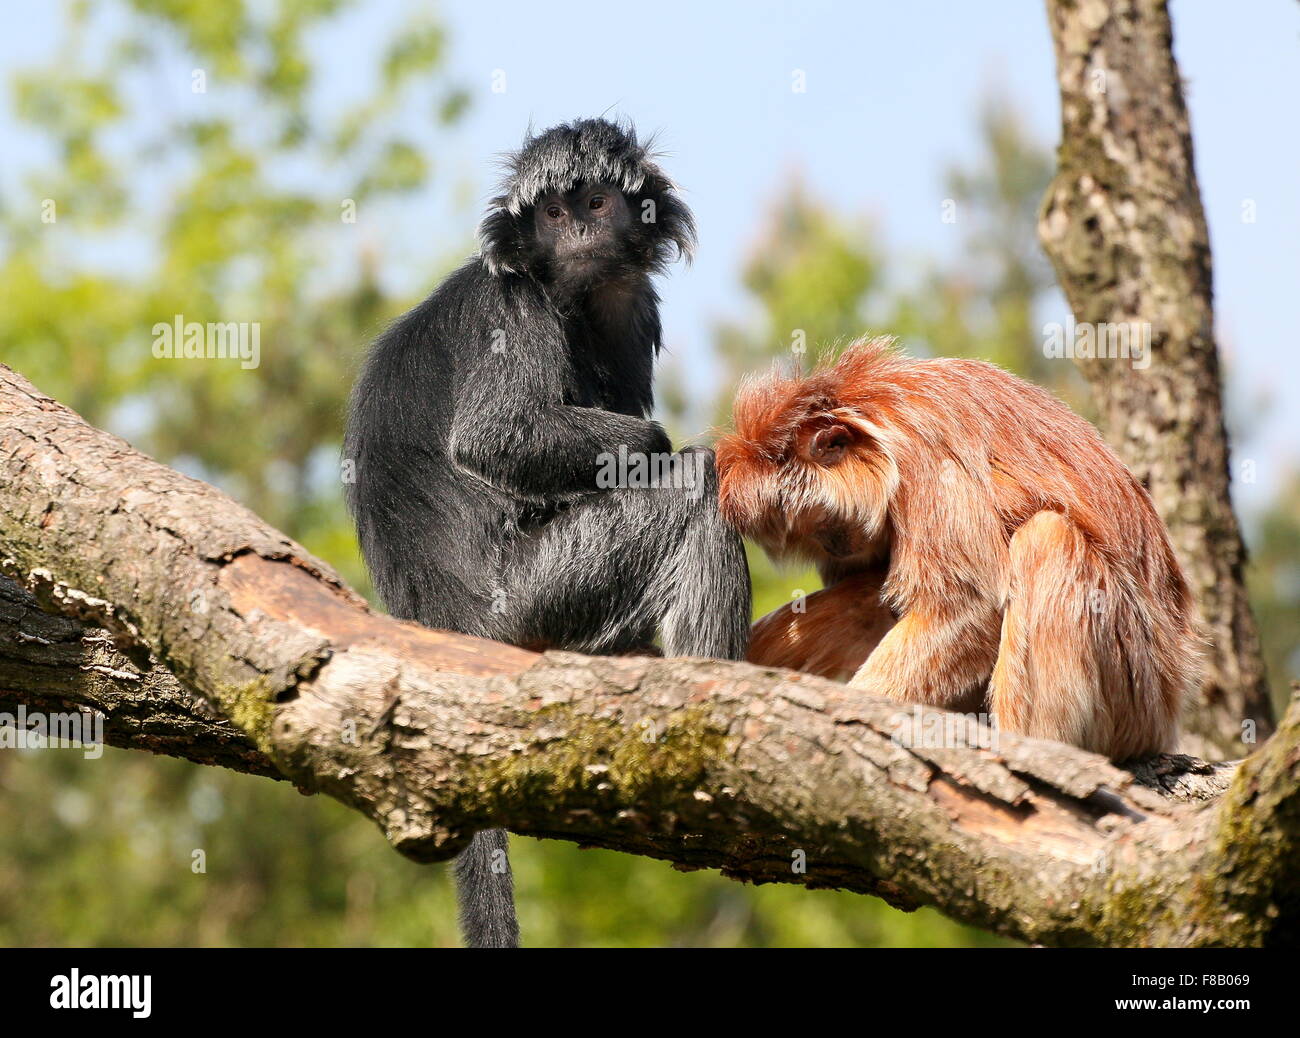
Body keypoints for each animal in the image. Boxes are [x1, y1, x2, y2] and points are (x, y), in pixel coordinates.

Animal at [343, 118, 751, 948]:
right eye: (555, 214)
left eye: (596, 203)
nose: (582, 233)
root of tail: (442, 622)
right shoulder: (516, 307)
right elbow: (496, 437)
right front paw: (655, 443)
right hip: (538, 592)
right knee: (695, 485)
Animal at [716, 337, 1199, 761]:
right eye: (815, 538)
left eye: (822, 525)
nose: (836, 546)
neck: (875, 412)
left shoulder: (926, 457)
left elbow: (969, 605)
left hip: (1135, 691)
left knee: (1046, 539)